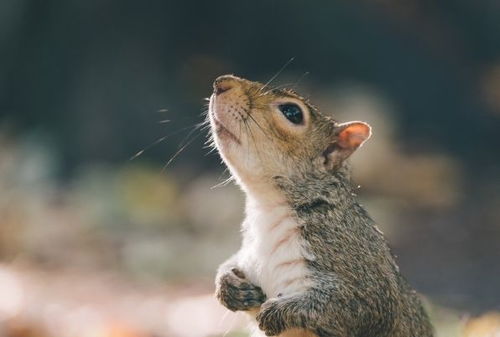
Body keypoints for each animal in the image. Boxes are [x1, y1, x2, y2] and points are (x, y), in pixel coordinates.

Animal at [208, 74, 434, 336]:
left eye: (293, 112)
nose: (221, 83)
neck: (269, 207)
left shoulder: (358, 270)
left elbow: (352, 307)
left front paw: (277, 312)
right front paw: (228, 285)